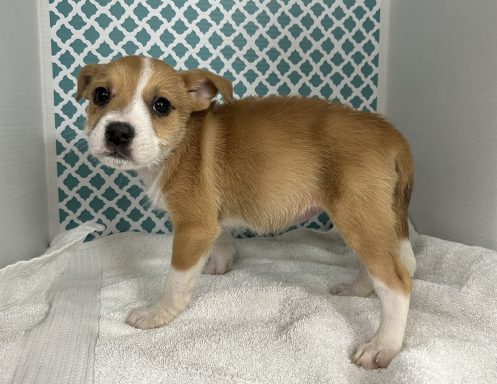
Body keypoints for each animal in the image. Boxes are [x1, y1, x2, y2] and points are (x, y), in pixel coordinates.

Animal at [76, 54, 414, 368]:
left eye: (161, 105)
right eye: (101, 95)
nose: (118, 132)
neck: (180, 141)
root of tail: (391, 134)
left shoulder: (193, 226)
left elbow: (176, 280)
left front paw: (157, 314)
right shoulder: (211, 220)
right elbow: (222, 240)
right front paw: (218, 266)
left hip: (357, 217)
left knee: (397, 281)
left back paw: (382, 346)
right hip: (369, 220)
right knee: (379, 267)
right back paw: (355, 290)